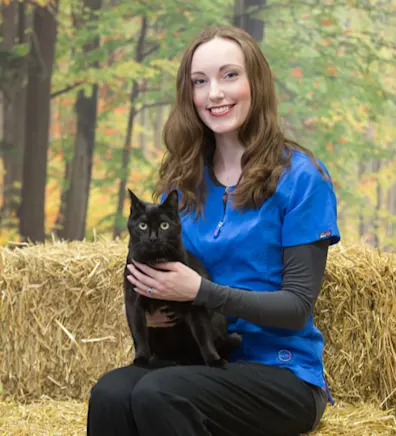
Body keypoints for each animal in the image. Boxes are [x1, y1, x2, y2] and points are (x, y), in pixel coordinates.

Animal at [124, 188, 241, 368]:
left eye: (164, 225)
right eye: (142, 225)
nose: (153, 238)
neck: (155, 262)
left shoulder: (193, 301)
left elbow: (203, 334)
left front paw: (214, 360)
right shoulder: (132, 299)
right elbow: (138, 332)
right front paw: (141, 359)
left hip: (217, 319)